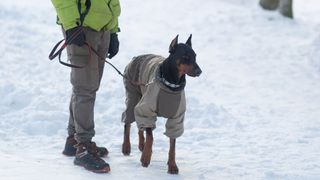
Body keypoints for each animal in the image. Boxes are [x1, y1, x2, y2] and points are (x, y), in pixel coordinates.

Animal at [121, 34, 201, 174]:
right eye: (185, 57)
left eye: (195, 56)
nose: (199, 71)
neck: (172, 84)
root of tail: (135, 57)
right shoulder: (147, 109)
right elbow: (151, 136)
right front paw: (146, 158)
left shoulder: (176, 117)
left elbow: (172, 145)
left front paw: (172, 165)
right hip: (133, 94)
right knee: (128, 121)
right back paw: (126, 146)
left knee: (140, 125)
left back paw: (141, 144)